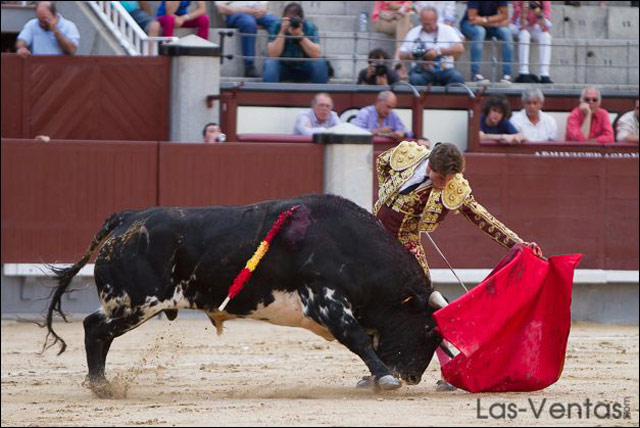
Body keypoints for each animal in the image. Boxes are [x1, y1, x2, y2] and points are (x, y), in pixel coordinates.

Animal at [43, 196, 444, 396]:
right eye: (428, 331)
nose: (412, 377)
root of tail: (127, 218)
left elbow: (365, 341)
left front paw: (377, 379)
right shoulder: (325, 301)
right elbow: (359, 339)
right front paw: (385, 379)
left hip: (129, 303)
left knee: (97, 329)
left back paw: (103, 384)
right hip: (136, 302)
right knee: (95, 329)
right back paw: (101, 387)